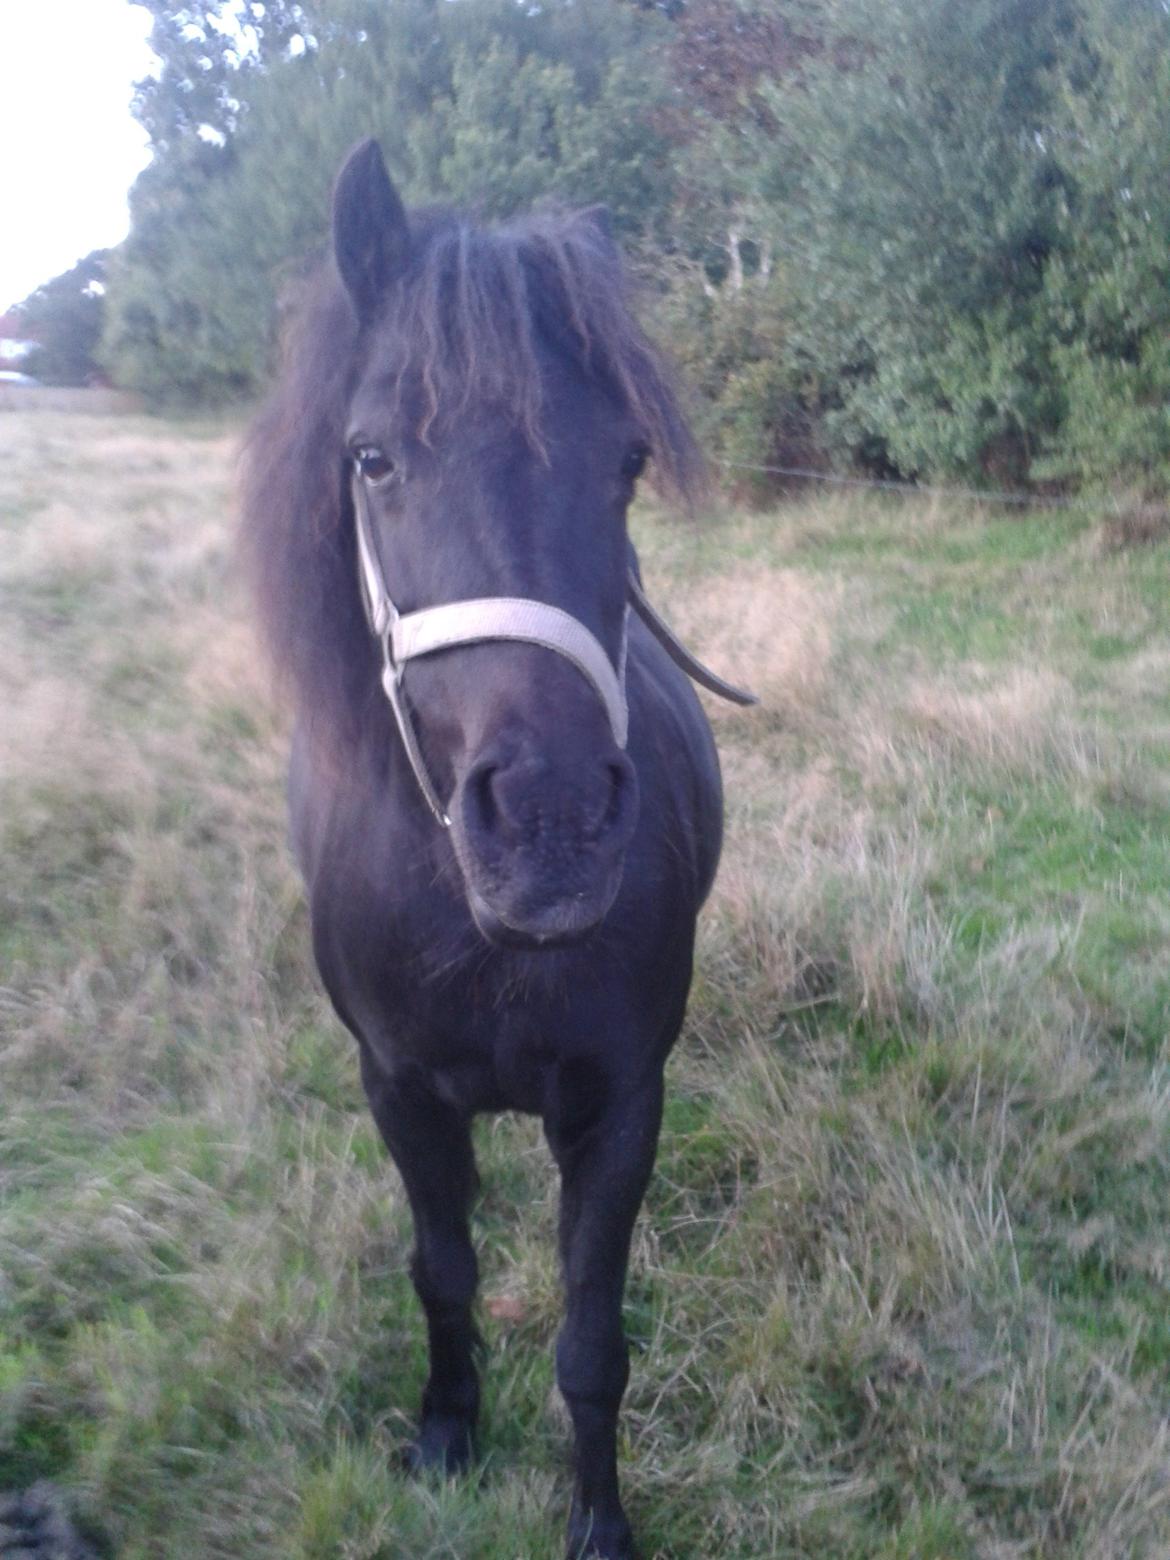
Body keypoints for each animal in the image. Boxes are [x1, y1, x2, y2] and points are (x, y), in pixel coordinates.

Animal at [240, 140, 733, 1553]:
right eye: (370, 458)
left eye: (627, 460)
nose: (553, 824)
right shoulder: (399, 1091)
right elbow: (443, 1268)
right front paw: (448, 1435)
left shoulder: (621, 1104)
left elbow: (591, 1340)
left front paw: (598, 1521)